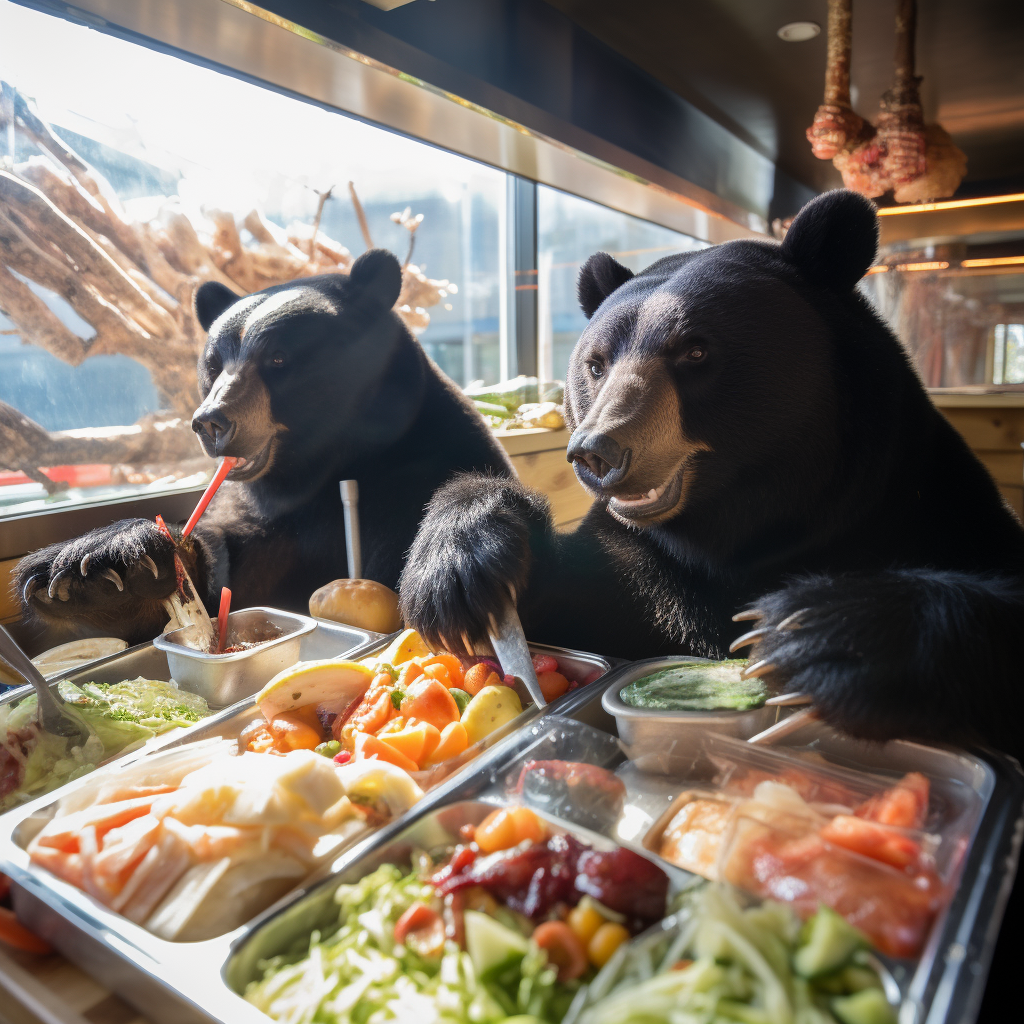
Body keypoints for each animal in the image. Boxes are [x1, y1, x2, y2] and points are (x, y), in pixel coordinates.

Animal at [16, 248, 512, 643]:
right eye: (213, 364)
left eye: (277, 358)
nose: (211, 422)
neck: (316, 470)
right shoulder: (253, 519)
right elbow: (207, 585)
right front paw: (98, 570)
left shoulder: (419, 462)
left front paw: (453, 563)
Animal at [399, 190, 1024, 753]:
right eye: (596, 364)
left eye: (695, 351)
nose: (598, 452)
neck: (740, 533)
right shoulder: (637, 563)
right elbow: (571, 596)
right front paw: (459, 569)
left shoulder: (916, 506)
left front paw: (821, 635)